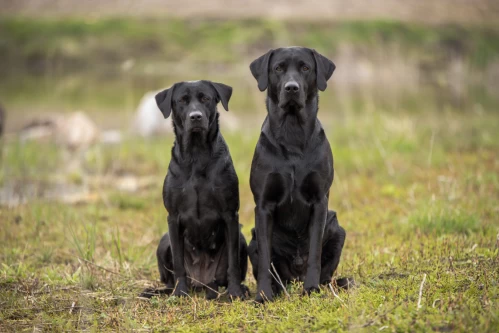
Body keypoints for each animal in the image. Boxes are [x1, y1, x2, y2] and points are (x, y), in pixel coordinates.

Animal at [143, 81, 248, 300]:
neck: (196, 154)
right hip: (163, 242)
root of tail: (202, 283)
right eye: (182, 100)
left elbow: (233, 263)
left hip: (241, 239)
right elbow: (179, 264)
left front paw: (235, 292)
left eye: (205, 98)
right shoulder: (173, 218)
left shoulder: (230, 215)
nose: (196, 116)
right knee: (170, 278)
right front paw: (180, 292)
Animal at [247, 47, 348, 304]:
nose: (291, 88)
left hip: (337, 228)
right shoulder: (263, 205)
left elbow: (314, 253)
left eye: (305, 68)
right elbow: (265, 260)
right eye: (278, 68)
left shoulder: (320, 202)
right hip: (252, 237)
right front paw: (263, 295)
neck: (292, 132)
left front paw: (311, 288)